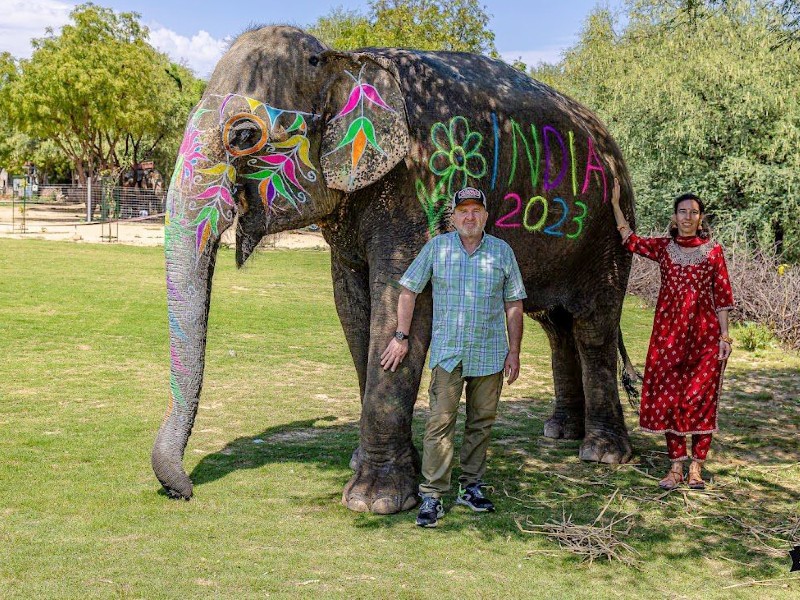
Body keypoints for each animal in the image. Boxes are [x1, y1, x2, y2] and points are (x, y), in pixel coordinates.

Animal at [152, 25, 636, 512]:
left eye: (244, 135)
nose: (182, 490)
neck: (344, 59)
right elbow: (352, 311)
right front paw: (373, 467)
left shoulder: (418, 189)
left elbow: (405, 302)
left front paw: (374, 501)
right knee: (556, 326)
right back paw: (560, 432)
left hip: (609, 237)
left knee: (593, 326)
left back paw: (602, 453)